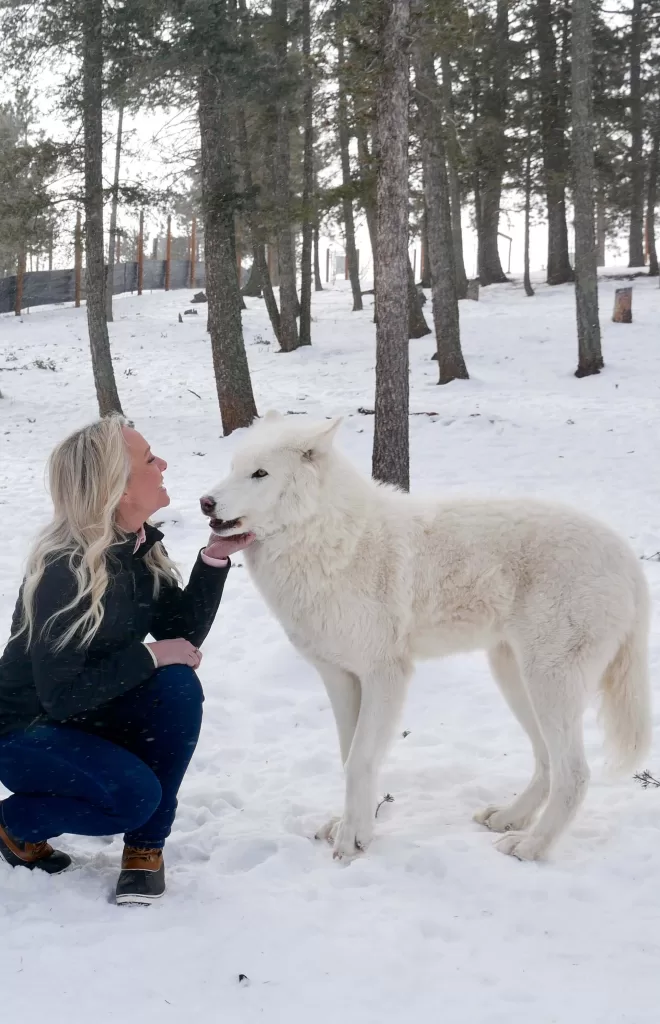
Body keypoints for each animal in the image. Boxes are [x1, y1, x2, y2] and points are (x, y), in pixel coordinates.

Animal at [201, 412, 652, 862]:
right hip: (514, 676)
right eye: (232, 468)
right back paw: (509, 818)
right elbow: (349, 756)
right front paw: (352, 827)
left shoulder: (384, 676)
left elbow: (360, 759)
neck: (329, 540)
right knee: (546, 763)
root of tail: (628, 557)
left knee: (575, 774)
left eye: (260, 474)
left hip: (548, 682)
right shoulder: (340, 677)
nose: (205, 502)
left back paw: (529, 846)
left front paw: (350, 843)